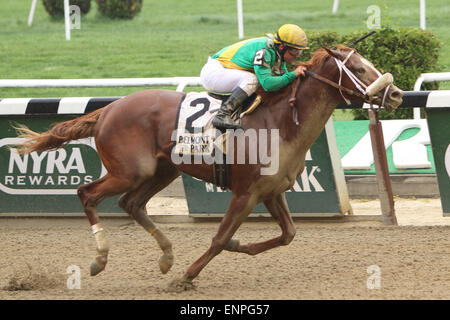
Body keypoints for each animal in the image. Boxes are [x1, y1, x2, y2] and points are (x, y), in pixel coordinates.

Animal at [12, 45, 402, 290]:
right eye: (358, 68)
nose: (396, 94)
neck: (279, 123)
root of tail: (108, 109)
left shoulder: (270, 191)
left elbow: (287, 235)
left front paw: (236, 247)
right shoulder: (245, 193)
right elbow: (218, 238)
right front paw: (186, 277)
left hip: (163, 170)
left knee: (130, 203)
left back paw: (166, 256)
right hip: (129, 171)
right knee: (87, 193)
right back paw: (100, 259)